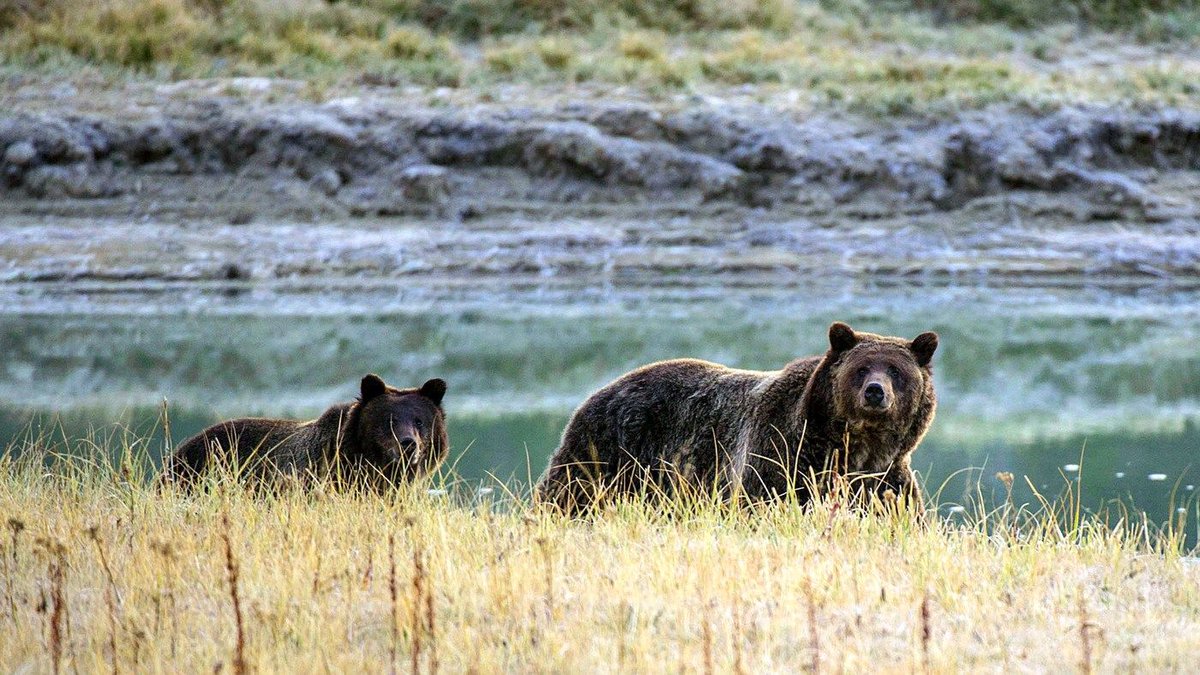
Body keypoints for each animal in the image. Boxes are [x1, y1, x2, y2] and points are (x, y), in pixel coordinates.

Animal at [535, 322, 938, 514]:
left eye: (896, 370)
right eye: (861, 368)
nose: (875, 392)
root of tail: (599, 391)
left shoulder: (885, 480)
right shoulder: (781, 458)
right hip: (608, 450)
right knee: (568, 494)